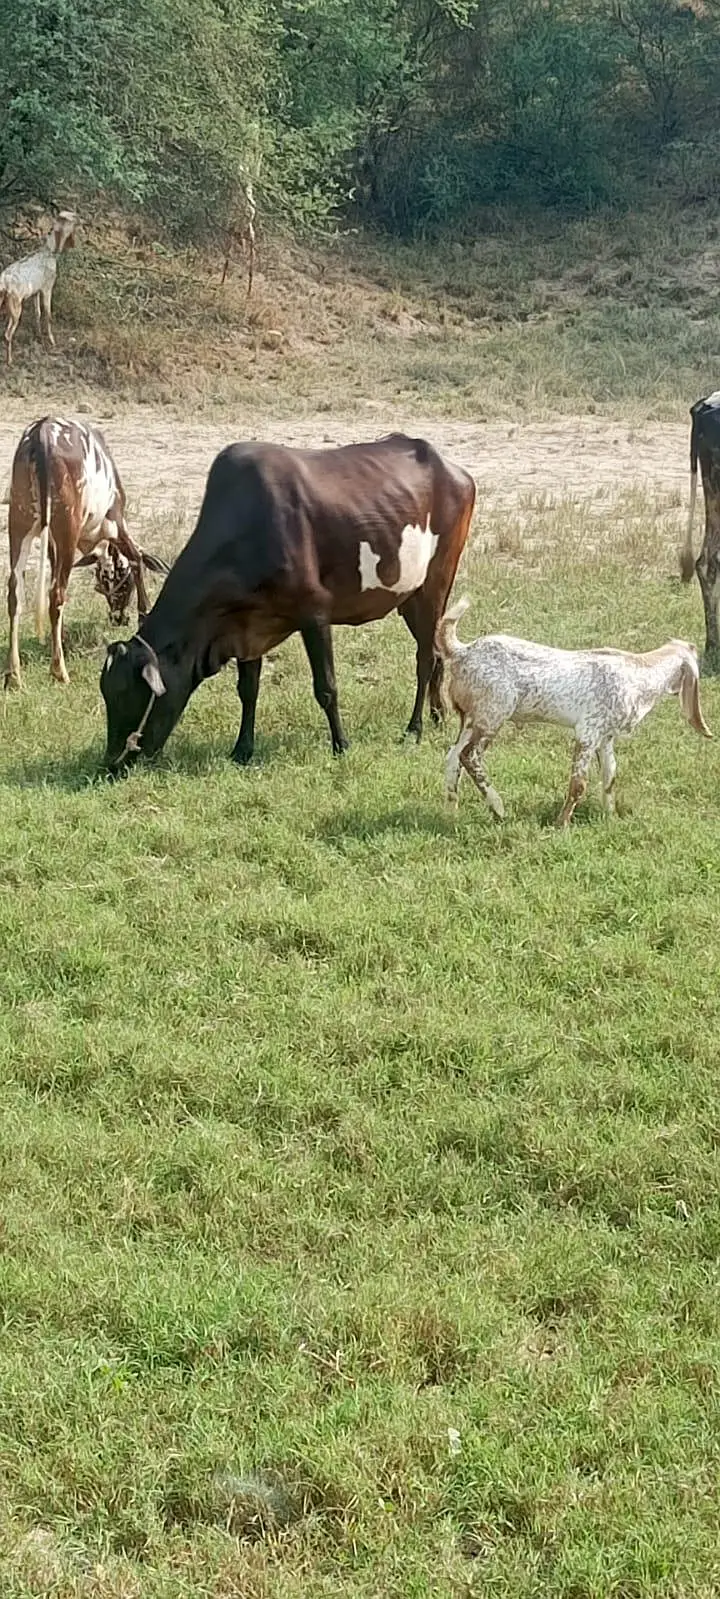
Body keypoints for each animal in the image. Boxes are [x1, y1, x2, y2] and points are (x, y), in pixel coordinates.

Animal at [4, 416, 169, 689]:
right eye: (122, 584)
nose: (117, 618)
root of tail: (43, 431)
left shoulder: (53, 545)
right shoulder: (116, 523)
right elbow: (136, 559)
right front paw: (144, 615)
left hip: (19, 522)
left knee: (15, 593)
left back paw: (13, 675)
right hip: (67, 529)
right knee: (56, 594)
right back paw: (59, 671)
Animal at [100, 434, 476, 772]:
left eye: (127, 696)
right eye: (107, 695)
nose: (112, 763)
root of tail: (455, 471)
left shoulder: (315, 613)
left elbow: (326, 687)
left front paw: (341, 745)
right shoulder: (248, 627)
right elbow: (247, 690)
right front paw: (242, 750)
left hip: (435, 583)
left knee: (425, 657)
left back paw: (414, 728)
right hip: (410, 598)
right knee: (436, 652)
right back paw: (437, 716)